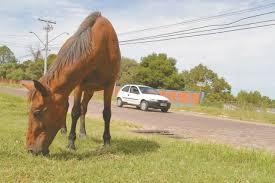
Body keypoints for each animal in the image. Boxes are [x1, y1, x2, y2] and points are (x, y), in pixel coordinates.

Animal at [21, 11, 120, 154]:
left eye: (37, 112)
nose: (30, 150)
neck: (102, 45)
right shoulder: (78, 85)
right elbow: (74, 112)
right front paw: (71, 142)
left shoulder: (110, 85)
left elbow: (106, 113)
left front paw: (107, 141)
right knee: (73, 107)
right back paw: (64, 130)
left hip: (89, 91)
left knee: (84, 108)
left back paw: (82, 133)